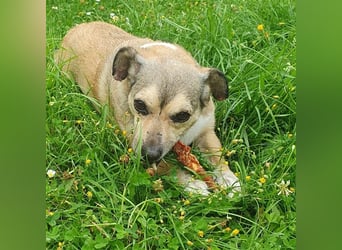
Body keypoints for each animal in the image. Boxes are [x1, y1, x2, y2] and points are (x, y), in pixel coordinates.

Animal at [55, 21, 240, 195]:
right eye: (139, 105)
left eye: (182, 116)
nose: (149, 154)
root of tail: (75, 28)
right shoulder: (134, 141)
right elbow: (168, 166)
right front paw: (191, 183)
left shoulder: (205, 131)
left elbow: (218, 156)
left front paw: (229, 179)